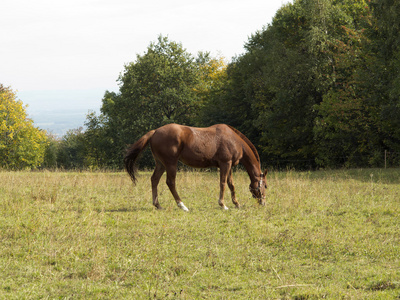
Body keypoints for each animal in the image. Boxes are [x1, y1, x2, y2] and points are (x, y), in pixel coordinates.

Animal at [124, 123, 268, 211]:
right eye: (265, 186)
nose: (263, 202)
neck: (234, 139)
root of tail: (155, 132)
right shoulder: (225, 164)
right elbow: (222, 183)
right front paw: (223, 204)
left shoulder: (229, 166)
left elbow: (231, 184)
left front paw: (236, 204)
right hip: (171, 164)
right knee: (170, 182)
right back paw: (182, 205)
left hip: (161, 164)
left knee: (154, 180)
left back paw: (158, 205)